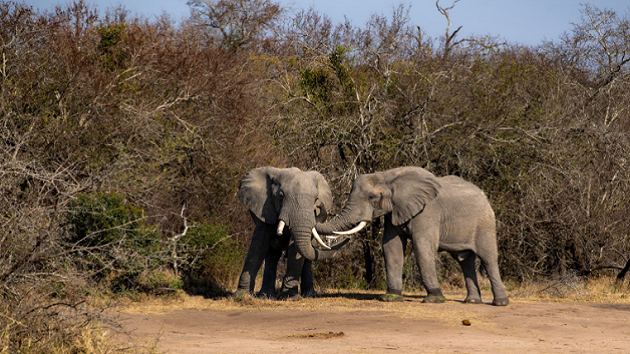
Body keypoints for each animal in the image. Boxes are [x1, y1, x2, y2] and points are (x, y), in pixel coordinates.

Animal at [236, 167, 348, 300]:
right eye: (281, 196)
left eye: (316, 200)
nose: (320, 206)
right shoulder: (265, 210)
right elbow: (259, 247)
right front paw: (242, 295)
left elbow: (295, 249)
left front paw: (289, 296)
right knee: (272, 255)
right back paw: (265, 295)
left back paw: (309, 295)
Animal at [314, 167, 508, 306]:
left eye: (371, 197)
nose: (318, 205)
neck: (389, 177)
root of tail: (485, 196)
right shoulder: (393, 210)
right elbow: (391, 247)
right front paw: (391, 297)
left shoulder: (427, 211)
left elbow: (422, 247)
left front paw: (434, 299)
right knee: (465, 260)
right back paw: (472, 302)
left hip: (485, 223)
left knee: (488, 258)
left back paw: (500, 303)